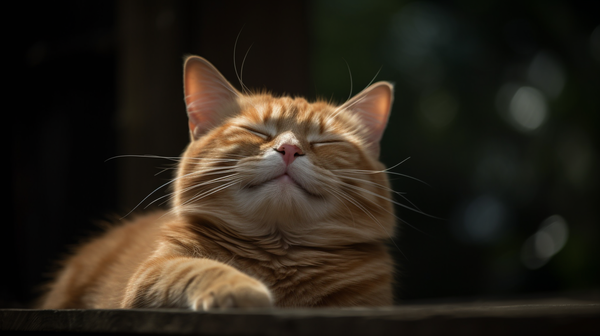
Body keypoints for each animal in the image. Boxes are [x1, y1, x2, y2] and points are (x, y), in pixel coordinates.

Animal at [41, 55, 398, 310]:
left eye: (325, 141)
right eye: (256, 131)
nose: (289, 149)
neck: (279, 255)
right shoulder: (149, 275)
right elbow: (195, 268)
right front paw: (237, 287)